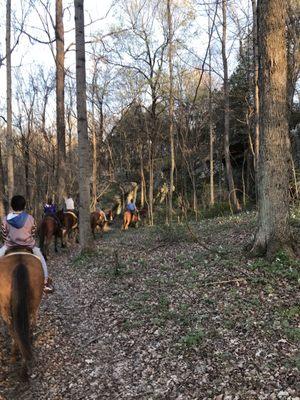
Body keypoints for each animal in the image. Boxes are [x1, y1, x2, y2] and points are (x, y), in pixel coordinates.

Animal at [0, 252, 44, 380]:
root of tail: (20, 264)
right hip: (32, 304)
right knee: (26, 328)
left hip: (6, 310)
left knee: (14, 330)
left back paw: (15, 356)